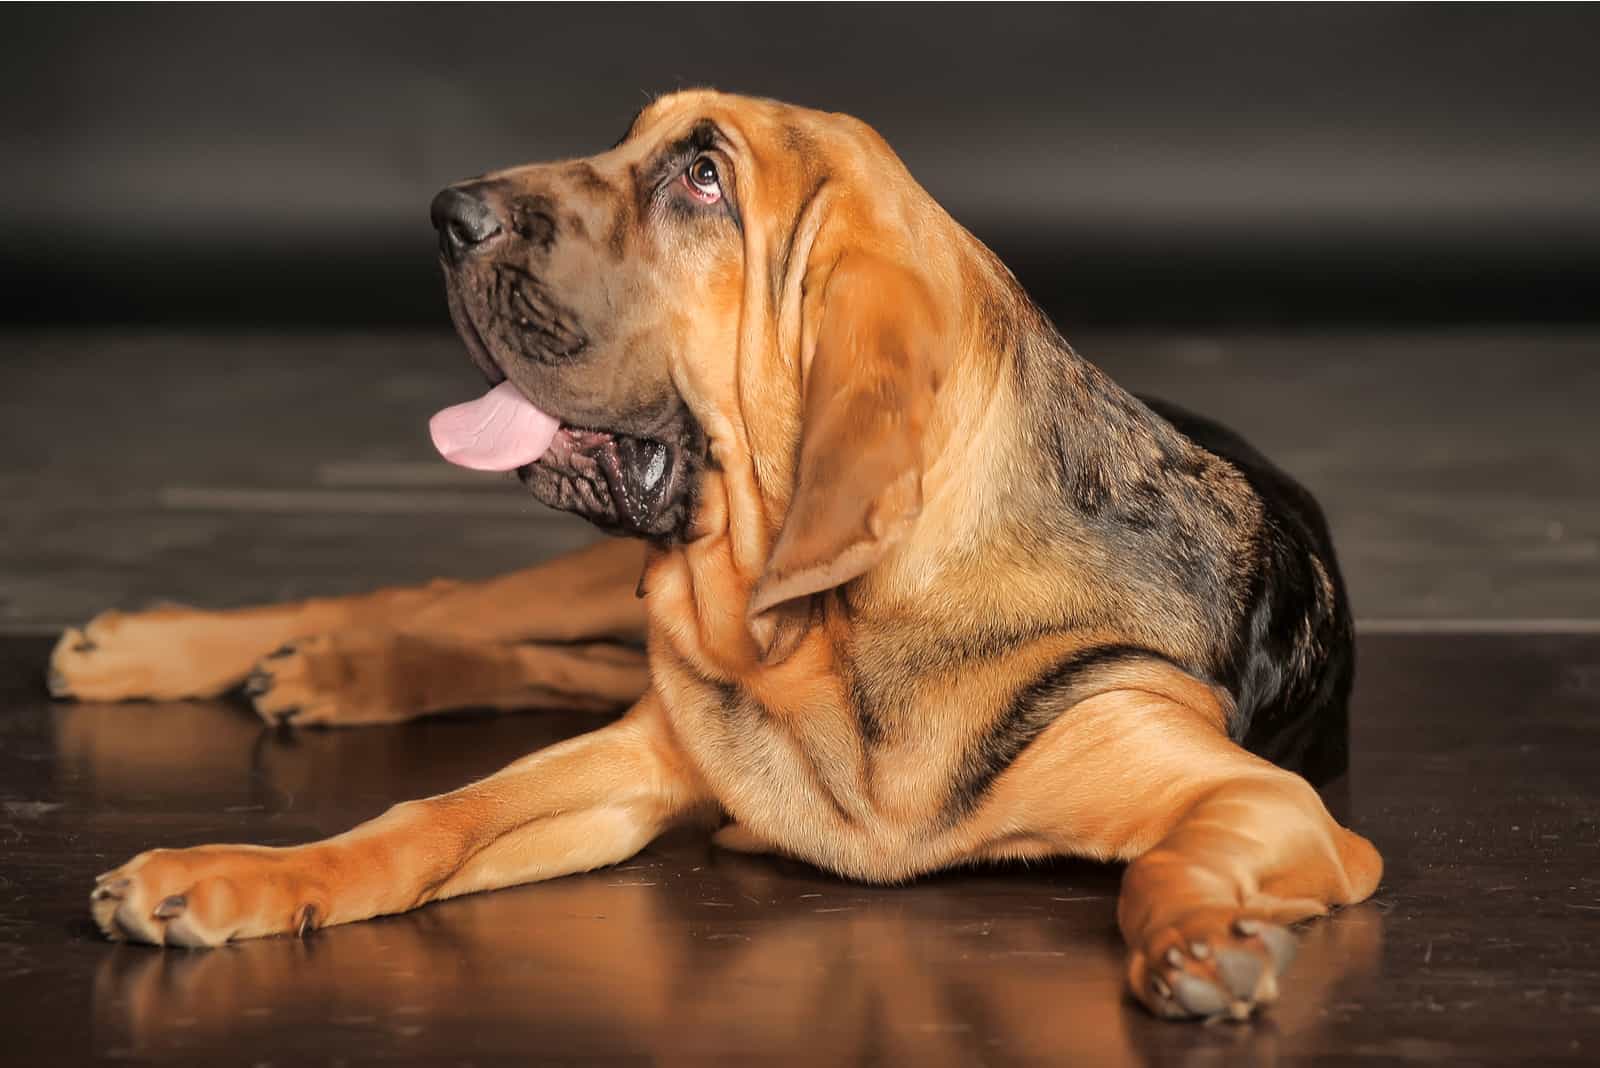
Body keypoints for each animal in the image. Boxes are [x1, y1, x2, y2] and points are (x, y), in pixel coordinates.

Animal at [50, 93, 1376, 1023]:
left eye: (702, 181)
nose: (447, 215)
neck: (828, 637)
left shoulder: (1257, 797)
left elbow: (1177, 862)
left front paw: (1200, 949)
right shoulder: (644, 753)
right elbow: (427, 819)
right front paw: (232, 875)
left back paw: (330, 672)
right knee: (442, 600)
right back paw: (173, 650)